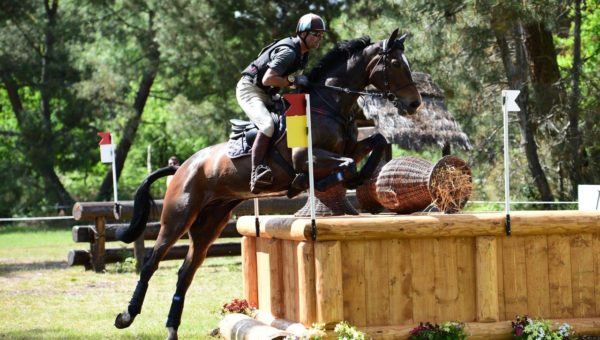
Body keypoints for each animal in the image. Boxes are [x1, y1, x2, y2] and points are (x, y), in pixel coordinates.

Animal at [113, 27, 422, 338]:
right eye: (396, 63)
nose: (414, 103)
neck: (328, 106)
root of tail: (182, 168)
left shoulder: (349, 147)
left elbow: (376, 143)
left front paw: (360, 177)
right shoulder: (307, 157)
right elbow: (343, 165)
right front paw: (310, 183)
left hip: (209, 225)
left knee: (186, 272)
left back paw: (171, 328)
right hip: (178, 217)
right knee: (151, 263)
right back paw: (126, 316)